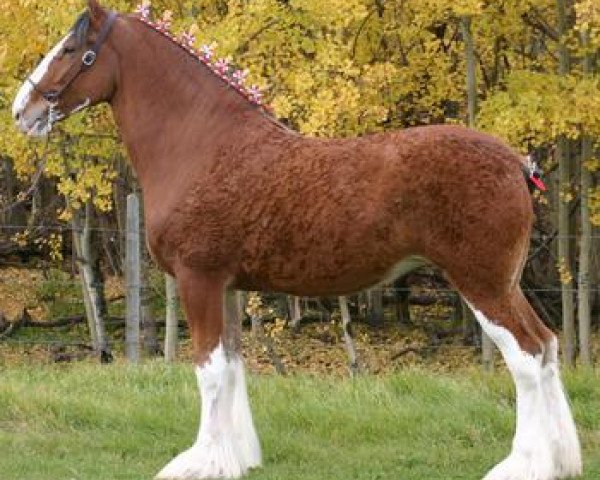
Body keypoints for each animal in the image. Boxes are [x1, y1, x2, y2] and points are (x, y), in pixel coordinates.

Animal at [10, 1, 580, 478]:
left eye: (71, 50)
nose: (22, 109)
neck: (202, 145)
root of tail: (516, 163)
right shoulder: (227, 286)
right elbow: (232, 367)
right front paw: (237, 459)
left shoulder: (199, 280)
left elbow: (209, 372)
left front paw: (200, 463)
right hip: (506, 284)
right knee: (549, 346)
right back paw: (561, 461)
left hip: (481, 283)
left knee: (526, 356)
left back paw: (521, 466)